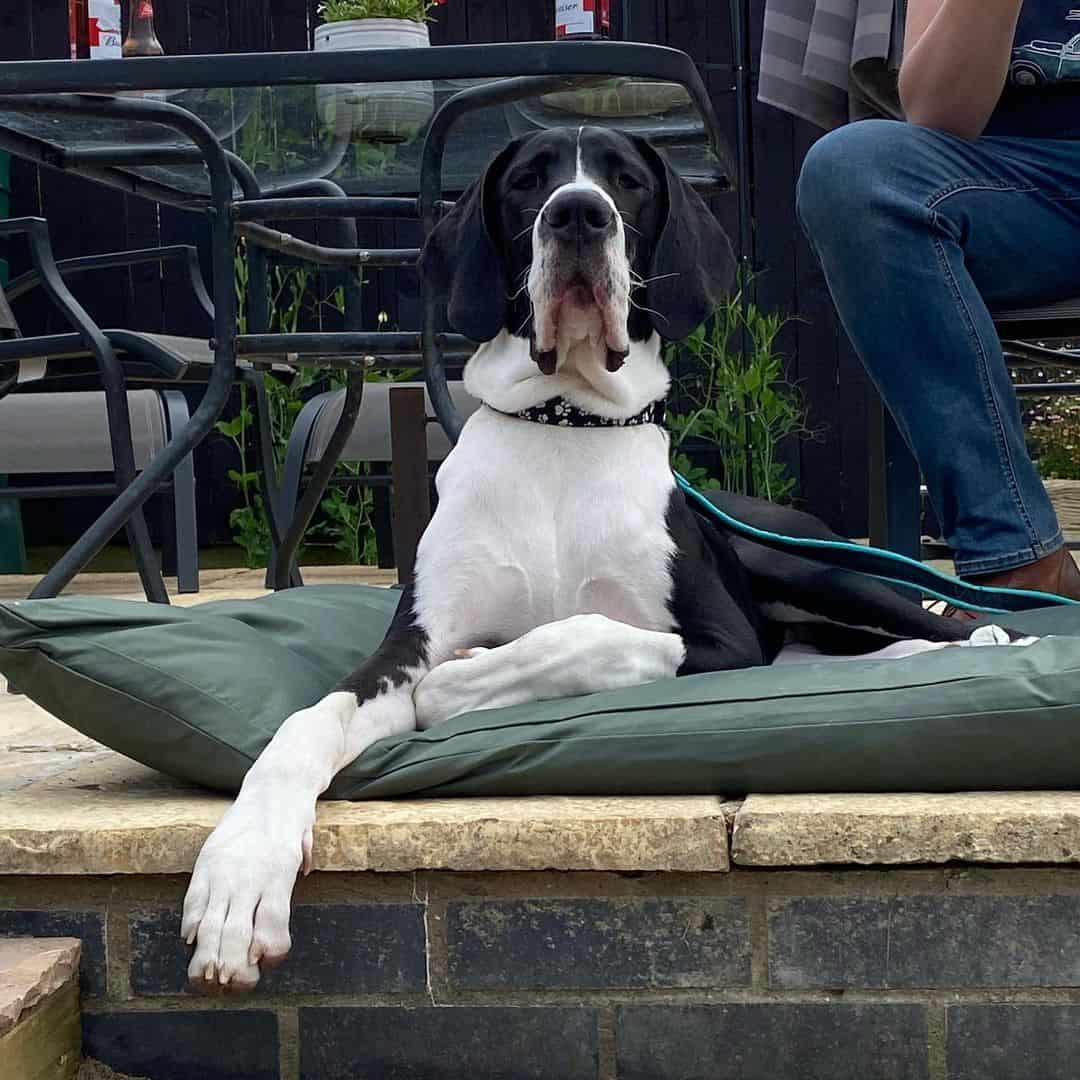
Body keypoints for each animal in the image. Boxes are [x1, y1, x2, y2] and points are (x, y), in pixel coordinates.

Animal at [183, 124, 1019, 989]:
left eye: (629, 182)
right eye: (526, 179)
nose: (579, 214)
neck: (567, 424)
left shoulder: (722, 640)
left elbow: (577, 634)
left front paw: (467, 686)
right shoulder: (408, 643)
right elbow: (309, 722)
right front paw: (241, 873)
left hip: (810, 568)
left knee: (949, 622)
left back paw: (977, 640)